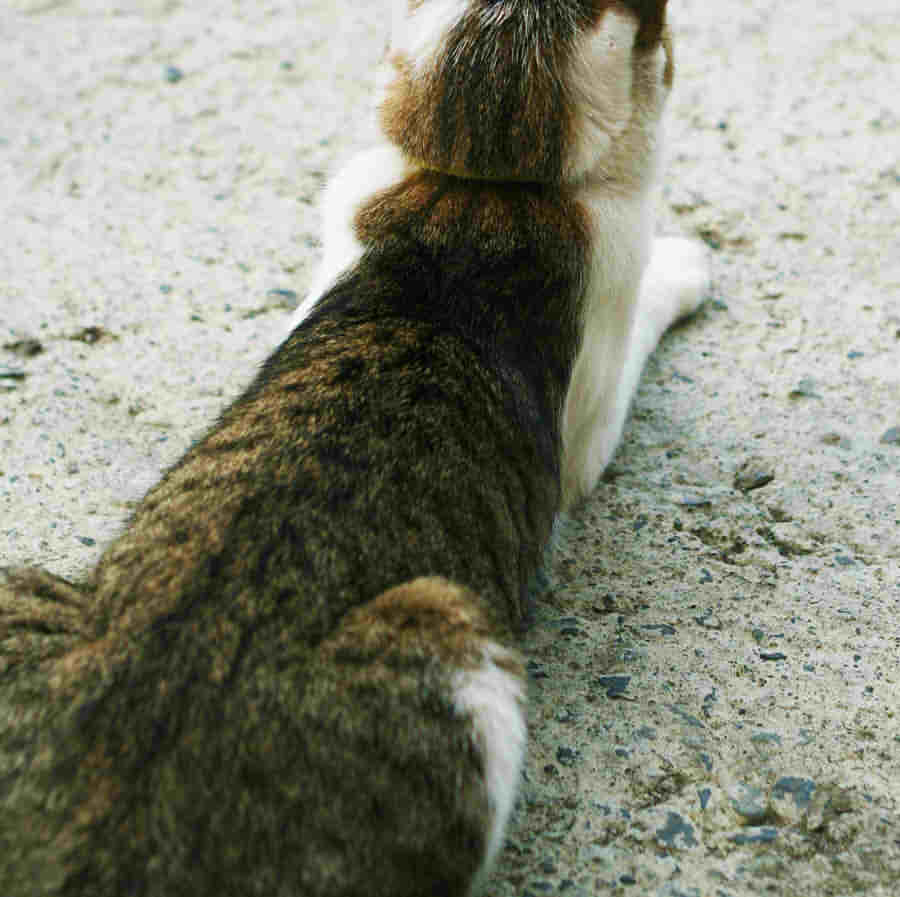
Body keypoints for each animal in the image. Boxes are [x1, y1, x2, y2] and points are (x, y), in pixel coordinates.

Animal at [0, 1, 707, 894]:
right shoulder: (598, 384)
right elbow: (651, 299)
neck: (476, 189)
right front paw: (690, 260)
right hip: (451, 637)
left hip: (22, 593)